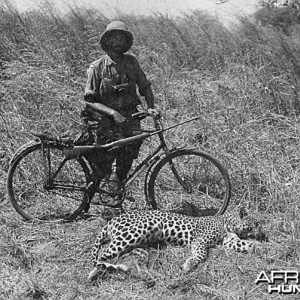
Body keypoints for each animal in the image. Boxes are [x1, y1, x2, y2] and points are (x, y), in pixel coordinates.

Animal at [88, 207, 264, 280]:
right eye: (256, 223)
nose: (263, 231)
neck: (227, 223)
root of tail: (112, 220)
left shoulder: (230, 240)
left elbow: (244, 244)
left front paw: (260, 248)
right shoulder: (199, 241)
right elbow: (201, 255)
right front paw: (188, 265)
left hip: (140, 246)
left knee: (129, 260)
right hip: (138, 230)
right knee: (102, 253)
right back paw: (94, 274)